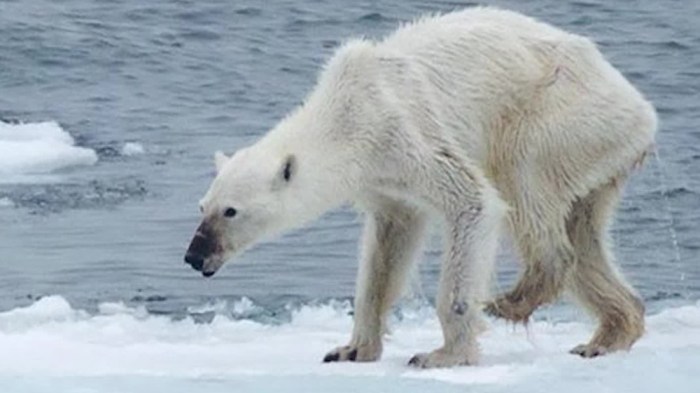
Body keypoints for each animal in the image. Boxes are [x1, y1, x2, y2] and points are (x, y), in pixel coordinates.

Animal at [185, 6, 656, 368]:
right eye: (202, 206)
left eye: (231, 211)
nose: (194, 256)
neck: (345, 113)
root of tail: (642, 110)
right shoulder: (382, 179)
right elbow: (388, 246)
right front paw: (351, 349)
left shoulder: (403, 131)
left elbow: (473, 202)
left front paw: (443, 354)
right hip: (597, 154)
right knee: (585, 233)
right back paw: (607, 335)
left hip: (560, 115)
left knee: (524, 180)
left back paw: (513, 299)